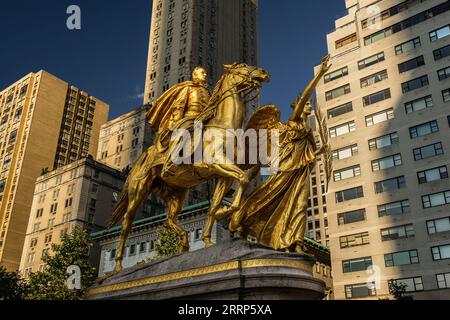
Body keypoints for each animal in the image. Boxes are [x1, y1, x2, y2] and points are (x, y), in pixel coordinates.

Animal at [110, 63, 268, 272]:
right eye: (242, 66)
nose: (264, 73)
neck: (223, 126)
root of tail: (141, 157)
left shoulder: (223, 175)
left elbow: (216, 203)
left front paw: (208, 237)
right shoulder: (218, 163)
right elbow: (242, 179)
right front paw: (225, 212)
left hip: (176, 193)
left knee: (169, 220)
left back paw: (184, 243)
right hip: (139, 191)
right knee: (126, 224)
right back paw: (118, 266)